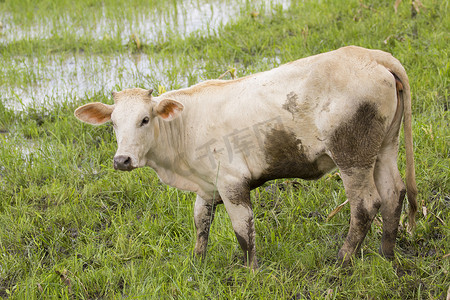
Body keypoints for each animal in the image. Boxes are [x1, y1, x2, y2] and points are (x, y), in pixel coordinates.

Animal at [74, 46, 418, 268]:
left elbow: (243, 229)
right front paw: (197, 264)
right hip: (384, 147)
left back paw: (343, 261)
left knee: (365, 205)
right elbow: (200, 222)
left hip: (352, 156)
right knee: (393, 193)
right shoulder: (207, 185)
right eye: (113, 123)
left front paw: (250, 270)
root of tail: (372, 55)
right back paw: (387, 255)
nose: (122, 160)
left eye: (145, 119)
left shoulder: (232, 182)